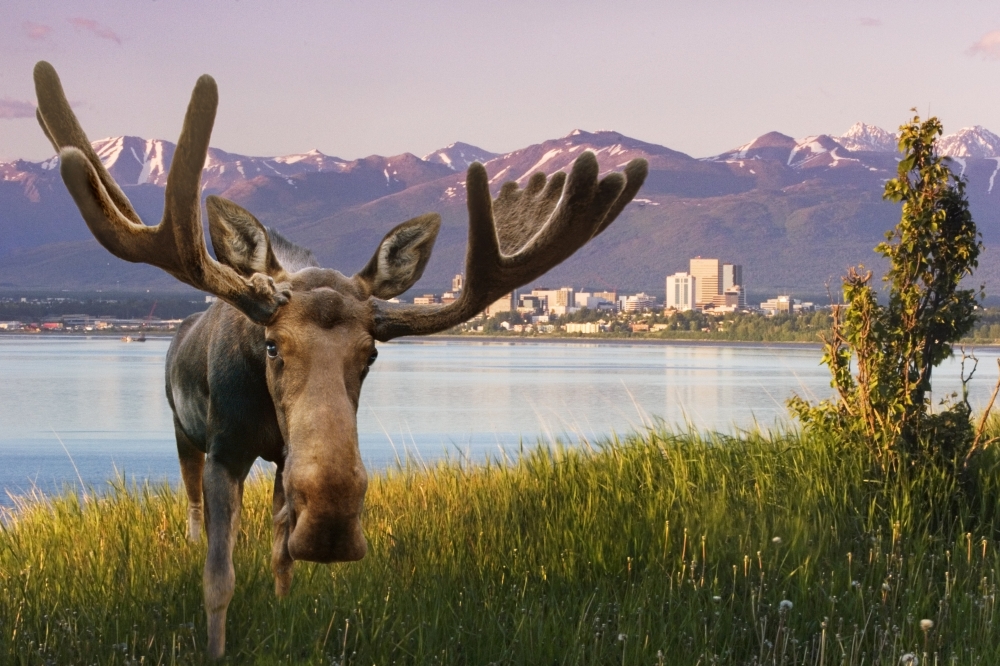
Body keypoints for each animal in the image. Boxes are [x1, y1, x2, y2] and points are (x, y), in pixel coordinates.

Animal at [32, 60, 647, 659]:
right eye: (272, 344)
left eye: (371, 353)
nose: (331, 523)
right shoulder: (224, 449)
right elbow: (218, 577)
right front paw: (215, 647)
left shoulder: (285, 459)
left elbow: (280, 556)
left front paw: (283, 607)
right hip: (182, 430)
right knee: (190, 507)